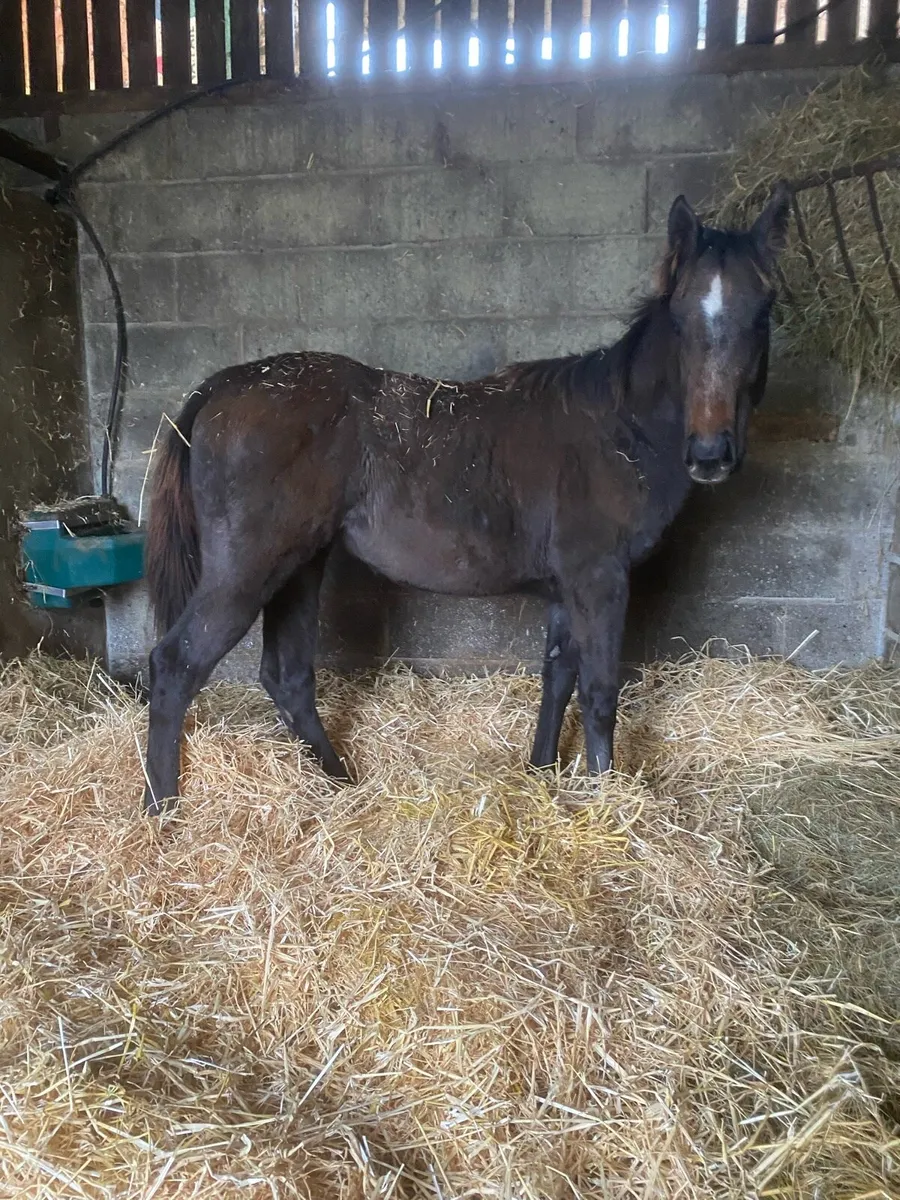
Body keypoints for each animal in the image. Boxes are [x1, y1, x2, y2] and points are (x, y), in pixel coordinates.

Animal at [141, 183, 791, 815]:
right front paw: (608, 804)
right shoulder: (600, 580)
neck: (620, 428)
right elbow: (600, 692)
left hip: (300, 565)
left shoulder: (567, 589)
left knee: (288, 677)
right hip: (249, 569)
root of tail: (223, 385)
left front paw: (542, 776)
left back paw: (341, 786)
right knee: (177, 664)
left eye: (762, 315)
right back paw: (162, 810)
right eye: (680, 318)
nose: (710, 453)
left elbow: (557, 679)